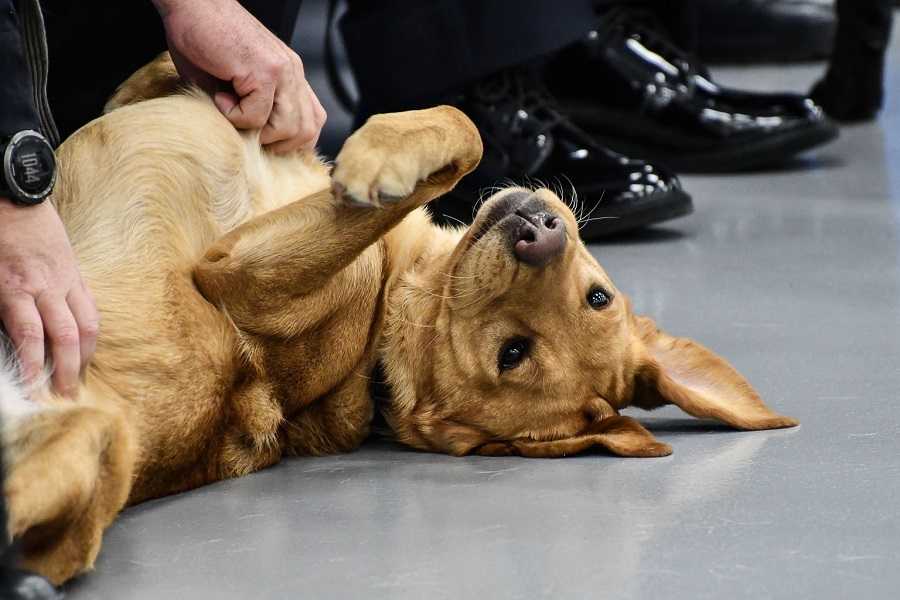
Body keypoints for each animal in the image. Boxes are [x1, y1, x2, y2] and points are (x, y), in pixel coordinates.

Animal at [0, 54, 796, 584]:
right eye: (597, 296)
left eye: (514, 354)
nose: (538, 233)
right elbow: (463, 123)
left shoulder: (238, 276)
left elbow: (454, 143)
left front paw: (377, 165)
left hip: (86, 443)